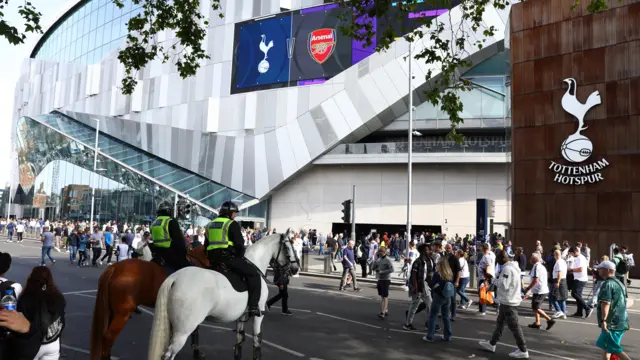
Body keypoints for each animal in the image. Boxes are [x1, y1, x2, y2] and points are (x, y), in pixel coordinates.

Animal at [148, 228, 300, 360]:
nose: (295, 268)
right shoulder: (259, 314)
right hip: (183, 331)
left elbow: (239, 341)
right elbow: (257, 340)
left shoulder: (242, 317)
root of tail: (175, 277)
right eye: (289, 246)